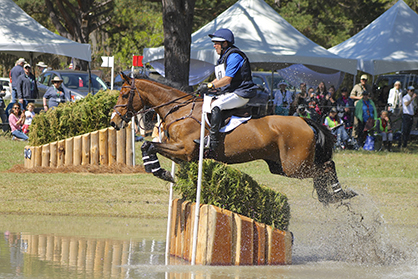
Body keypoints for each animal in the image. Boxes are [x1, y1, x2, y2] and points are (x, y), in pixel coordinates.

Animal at [110, 73, 356, 206]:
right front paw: (160, 171)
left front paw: (162, 172)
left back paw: (339, 193)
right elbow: (148, 145)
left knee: (327, 166)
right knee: (322, 171)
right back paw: (331, 196)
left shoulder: (185, 150)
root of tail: (305, 121)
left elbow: (148, 144)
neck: (180, 110)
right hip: (281, 166)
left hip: (295, 166)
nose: (114, 122)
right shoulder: (183, 155)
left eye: (124, 94)